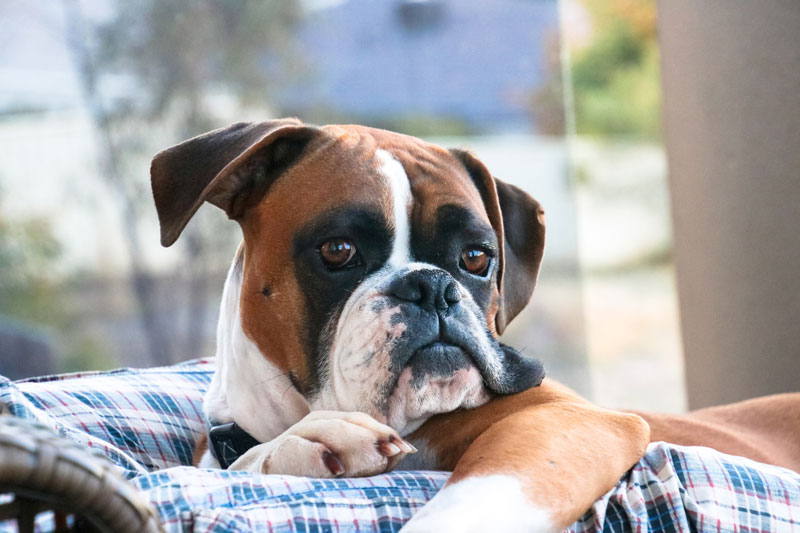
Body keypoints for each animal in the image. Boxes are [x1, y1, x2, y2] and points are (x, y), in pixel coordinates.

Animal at [150, 118, 800, 528]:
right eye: (338, 251)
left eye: (476, 258)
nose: (432, 287)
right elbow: (235, 464)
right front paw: (313, 442)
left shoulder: (567, 425)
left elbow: (463, 506)